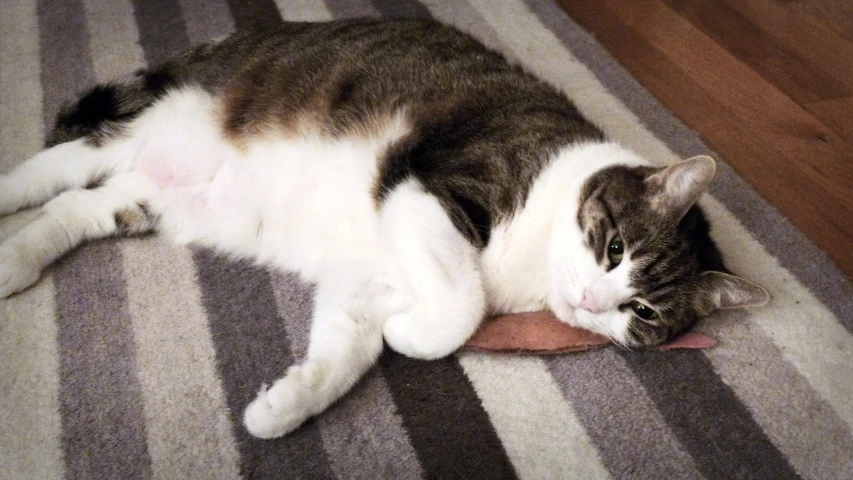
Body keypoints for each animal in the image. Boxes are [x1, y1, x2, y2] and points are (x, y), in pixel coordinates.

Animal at [0, 18, 768, 438]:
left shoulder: (365, 276)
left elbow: (346, 350)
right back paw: (11, 194)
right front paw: (419, 328)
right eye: (612, 248)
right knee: (56, 167)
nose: (590, 302)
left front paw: (282, 406)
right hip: (153, 127)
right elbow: (459, 306)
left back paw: (15, 262)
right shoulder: (429, 186)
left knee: (74, 211)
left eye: (641, 312)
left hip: (149, 194)